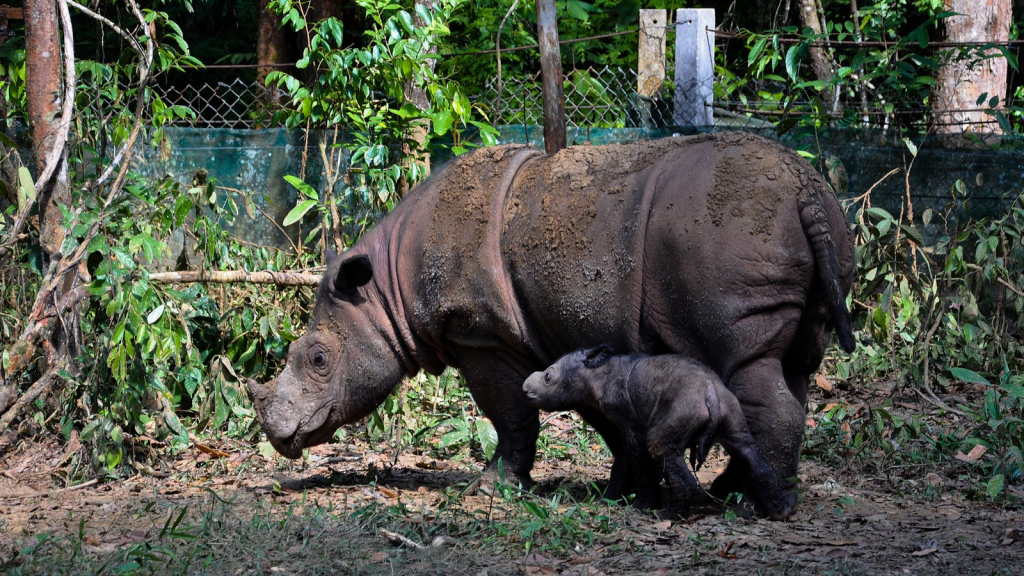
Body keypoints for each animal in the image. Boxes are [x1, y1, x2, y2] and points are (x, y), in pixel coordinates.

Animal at [524, 344, 794, 520]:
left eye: (548, 376)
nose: (525, 388)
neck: (596, 372)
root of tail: (711, 396)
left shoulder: (629, 421)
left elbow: (636, 459)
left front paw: (642, 505)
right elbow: (627, 459)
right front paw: (609, 499)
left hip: (681, 409)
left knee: (664, 450)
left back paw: (670, 515)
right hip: (730, 409)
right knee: (748, 451)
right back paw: (779, 512)